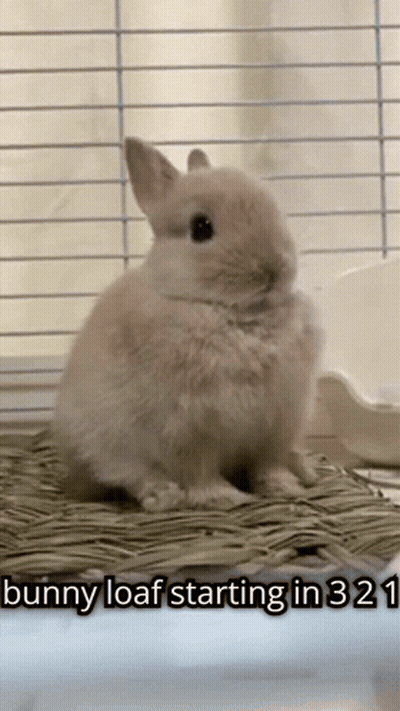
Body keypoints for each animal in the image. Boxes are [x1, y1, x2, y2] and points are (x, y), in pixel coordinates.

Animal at [53, 138, 323, 512]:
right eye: (201, 228)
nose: (273, 268)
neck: (235, 314)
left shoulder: (277, 424)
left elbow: (268, 464)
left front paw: (284, 488)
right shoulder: (188, 429)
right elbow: (198, 472)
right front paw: (222, 498)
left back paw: (306, 471)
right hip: (105, 442)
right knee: (128, 475)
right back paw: (162, 496)